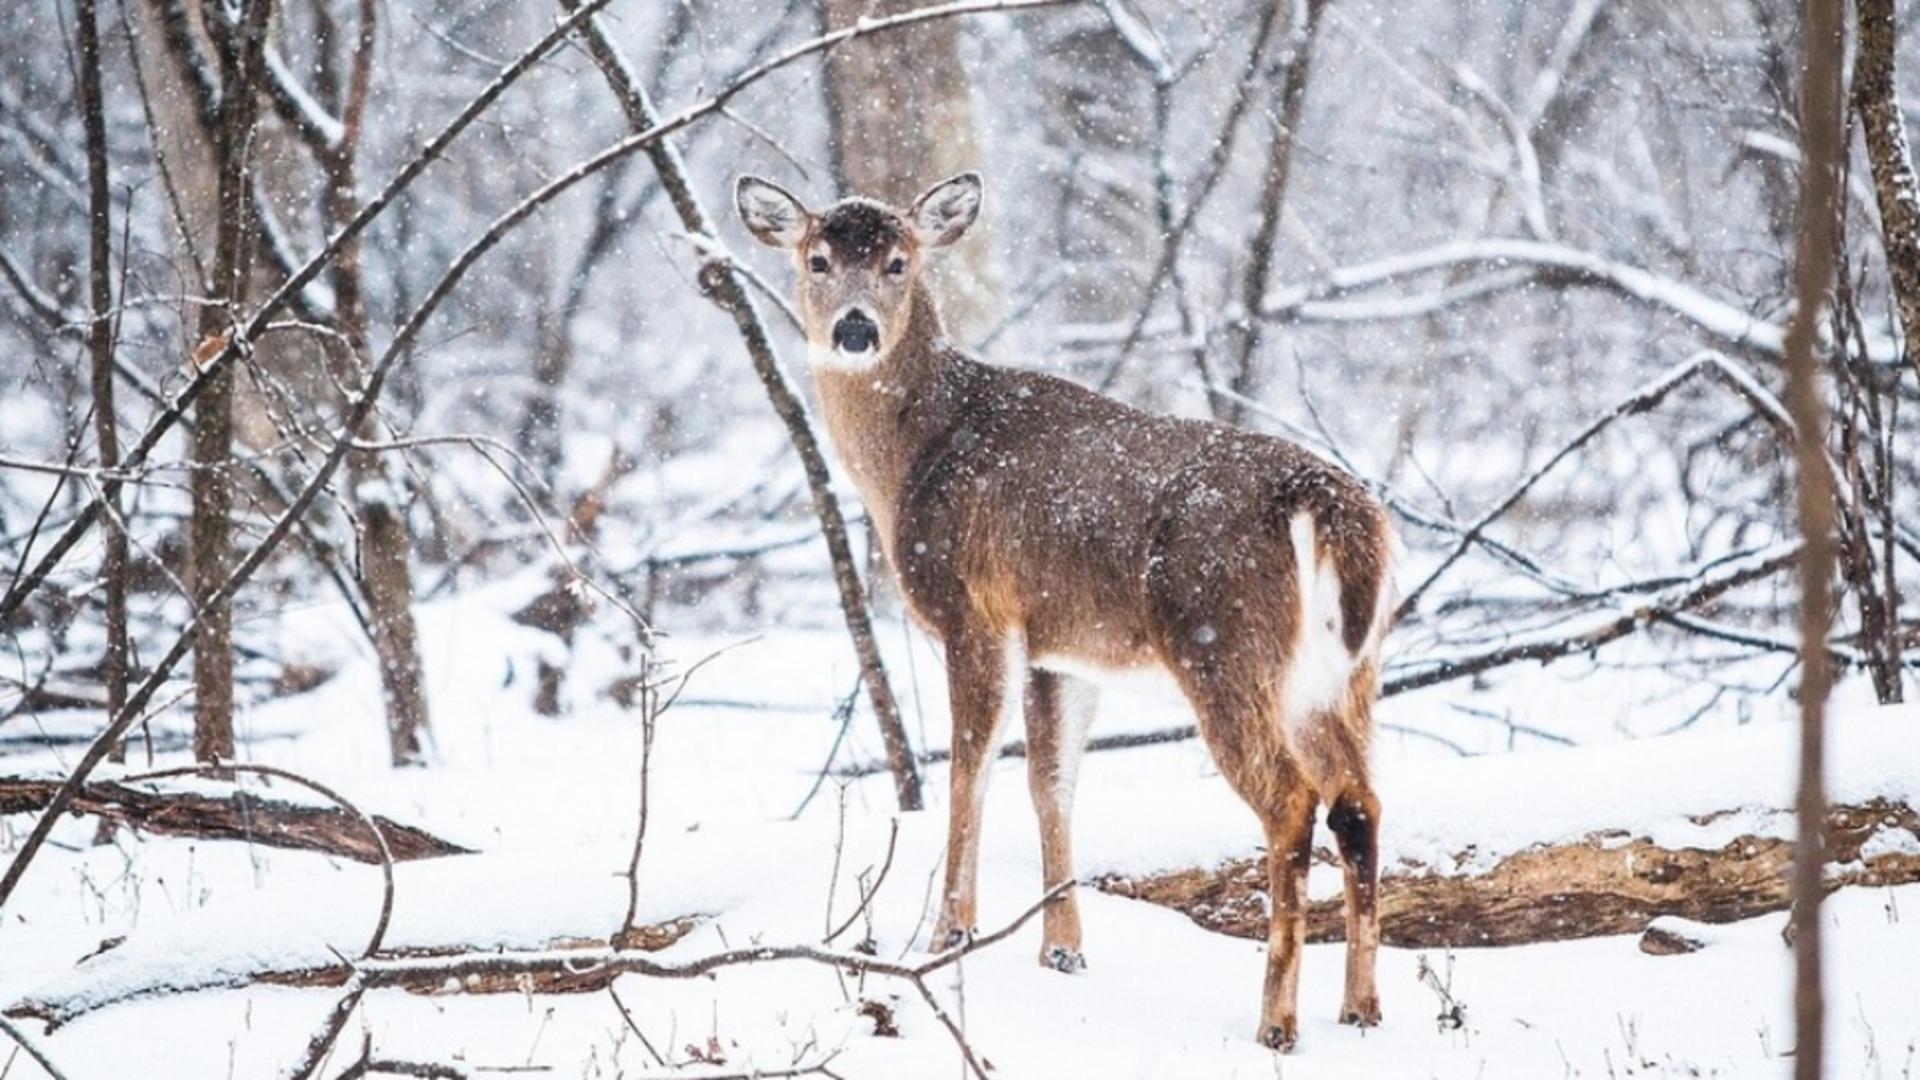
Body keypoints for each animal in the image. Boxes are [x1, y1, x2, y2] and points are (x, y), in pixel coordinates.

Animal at [737, 171, 1397, 1045]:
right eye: (817, 259)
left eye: (896, 262)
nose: (853, 328)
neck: (913, 457)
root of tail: (1327, 506)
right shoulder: (1062, 648)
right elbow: (1051, 782)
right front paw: (1063, 950)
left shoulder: (975, 612)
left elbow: (970, 771)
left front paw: (950, 934)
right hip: (1344, 673)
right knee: (1358, 802)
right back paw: (1361, 1008)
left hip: (1223, 643)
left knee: (1293, 802)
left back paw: (1276, 1023)